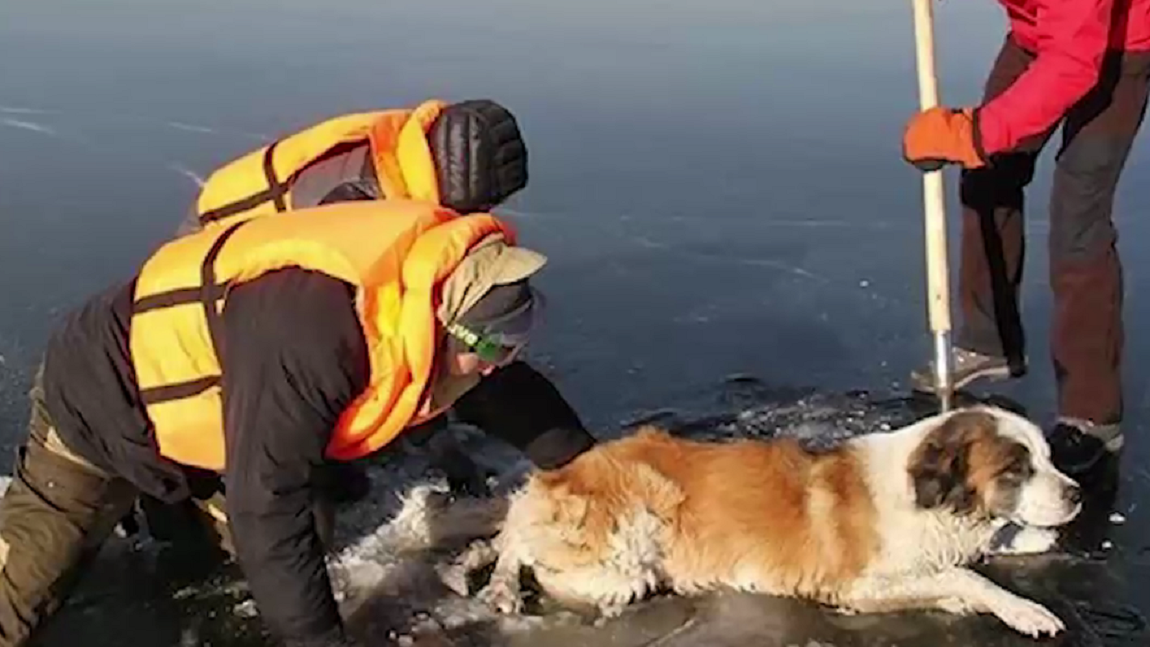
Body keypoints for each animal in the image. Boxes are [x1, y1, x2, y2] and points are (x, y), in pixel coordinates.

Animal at [455, 404, 1076, 638]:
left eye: (1047, 459)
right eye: (1016, 469)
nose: (1077, 495)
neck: (928, 496)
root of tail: (563, 470)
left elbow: (970, 559)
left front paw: (1031, 538)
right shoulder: (855, 584)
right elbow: (964, 575)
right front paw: (1024, 610)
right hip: (622, 557)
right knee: (521, 547)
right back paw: (504, 586)